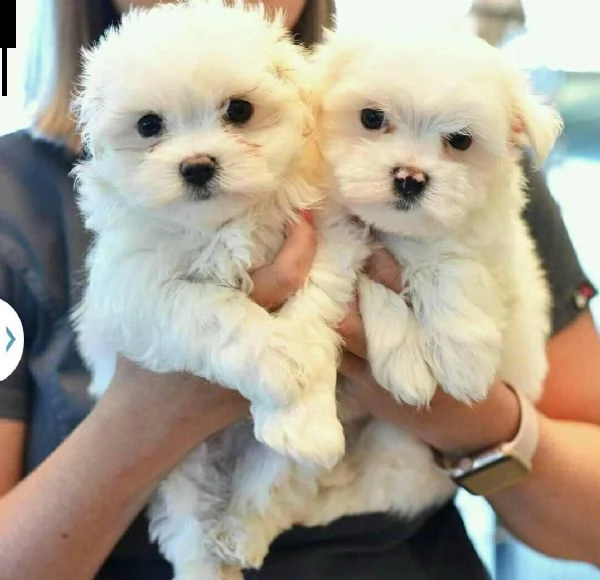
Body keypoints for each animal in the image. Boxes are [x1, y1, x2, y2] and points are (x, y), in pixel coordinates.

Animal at [74, 2, 366, 576]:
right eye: (148, 124)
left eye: (239, 110)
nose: (197, 166)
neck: (224, 223)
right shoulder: (137, 289)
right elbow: (208, 306)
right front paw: (277, 362)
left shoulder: (327, 237)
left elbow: (314, 305)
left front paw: (305, 410)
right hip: (177, 463)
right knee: (186, 522)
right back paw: (209, 561)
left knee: (270, 482)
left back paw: (242, 532)